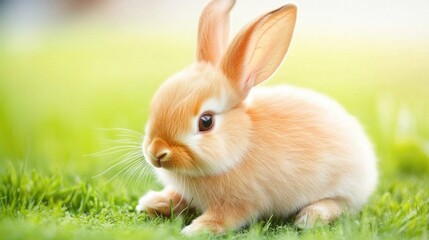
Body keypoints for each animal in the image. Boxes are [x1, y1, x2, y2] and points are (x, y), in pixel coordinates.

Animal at [135, 0, 376, 236]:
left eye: (206, 121)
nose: (157, 152)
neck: (241, 147)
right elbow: (178, 198)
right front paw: (152, 203)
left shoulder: (240, 202)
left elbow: (224, 218)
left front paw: (197, 229)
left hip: (343, 189)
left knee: (339, 205)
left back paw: (309, 217)